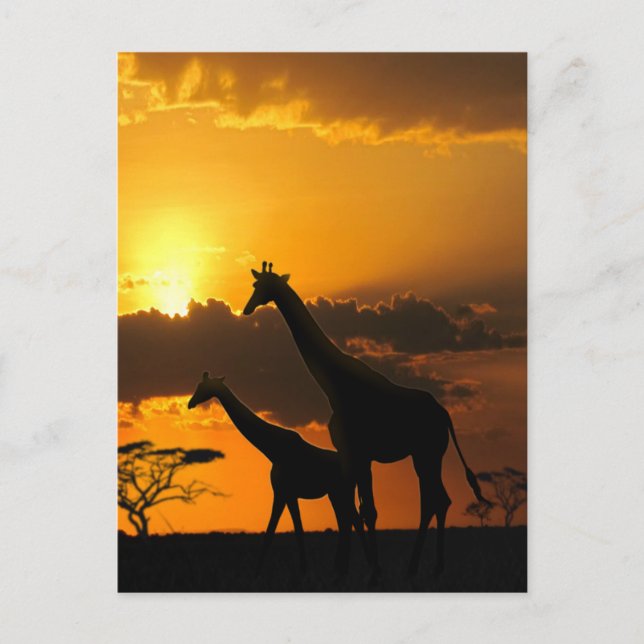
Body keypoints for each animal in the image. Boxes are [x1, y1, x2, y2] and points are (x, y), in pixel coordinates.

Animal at [187, 372, 364, 575]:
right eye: (197, 385)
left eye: (203, 387)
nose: (190, 403)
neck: (273, 450)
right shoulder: (287, 494)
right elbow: (291, 530)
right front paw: (301, 570)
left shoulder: (283, 492)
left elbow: (274, 531)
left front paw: (258, 573)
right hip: (336, 494)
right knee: (347, 523)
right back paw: (341, 570)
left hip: (342, 492)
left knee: (355, 521)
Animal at [242, 263, 490, 578]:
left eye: (260, 287)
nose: (247, 308)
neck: (334, 385)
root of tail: (444, 414)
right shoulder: (356, 455)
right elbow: (359, 509)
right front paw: (353, 569)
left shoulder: (356, 452)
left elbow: (360, 510)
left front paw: (365, 571)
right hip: (424, 455)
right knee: (436, 500)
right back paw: (420, 568)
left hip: (428, 453)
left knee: (436, 500)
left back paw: (429, 568)